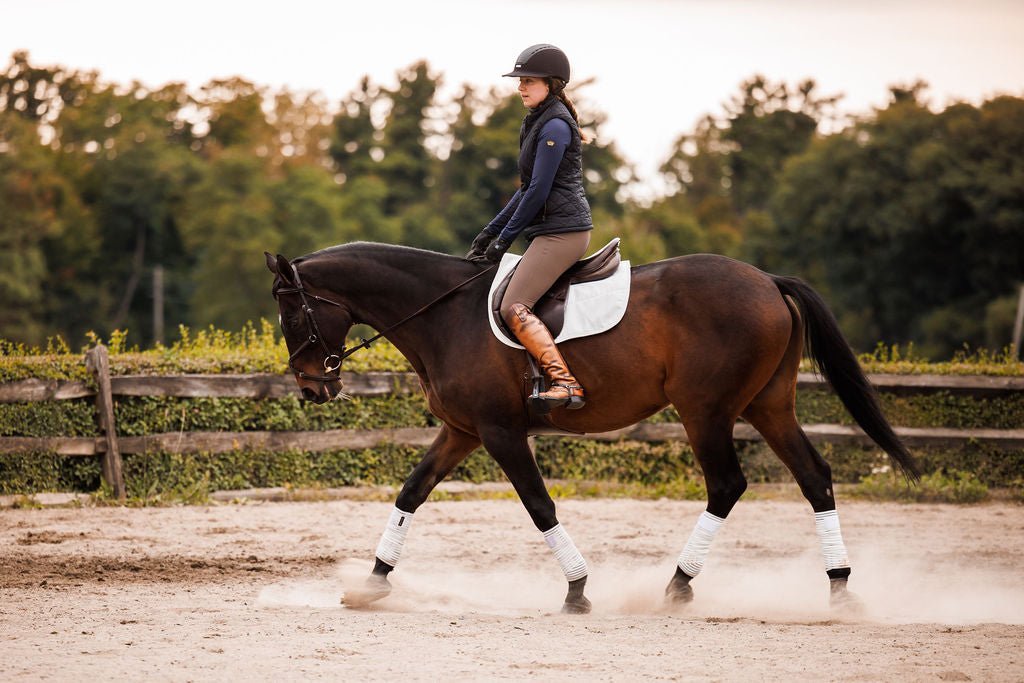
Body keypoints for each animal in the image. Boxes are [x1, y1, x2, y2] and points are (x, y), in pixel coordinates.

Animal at [265, 242, 918, 614]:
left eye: (292, 312)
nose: (311, 387)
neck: (444, 315)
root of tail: (767, 281)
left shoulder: (500, 433)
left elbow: (539, 506)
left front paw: (577, 590)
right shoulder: (463, 431)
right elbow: (411, 493)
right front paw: (372, 585)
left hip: (705, 410)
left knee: (727, 485)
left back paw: (676, 588)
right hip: (768, 406)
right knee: (814, 476)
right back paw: (839, 589)